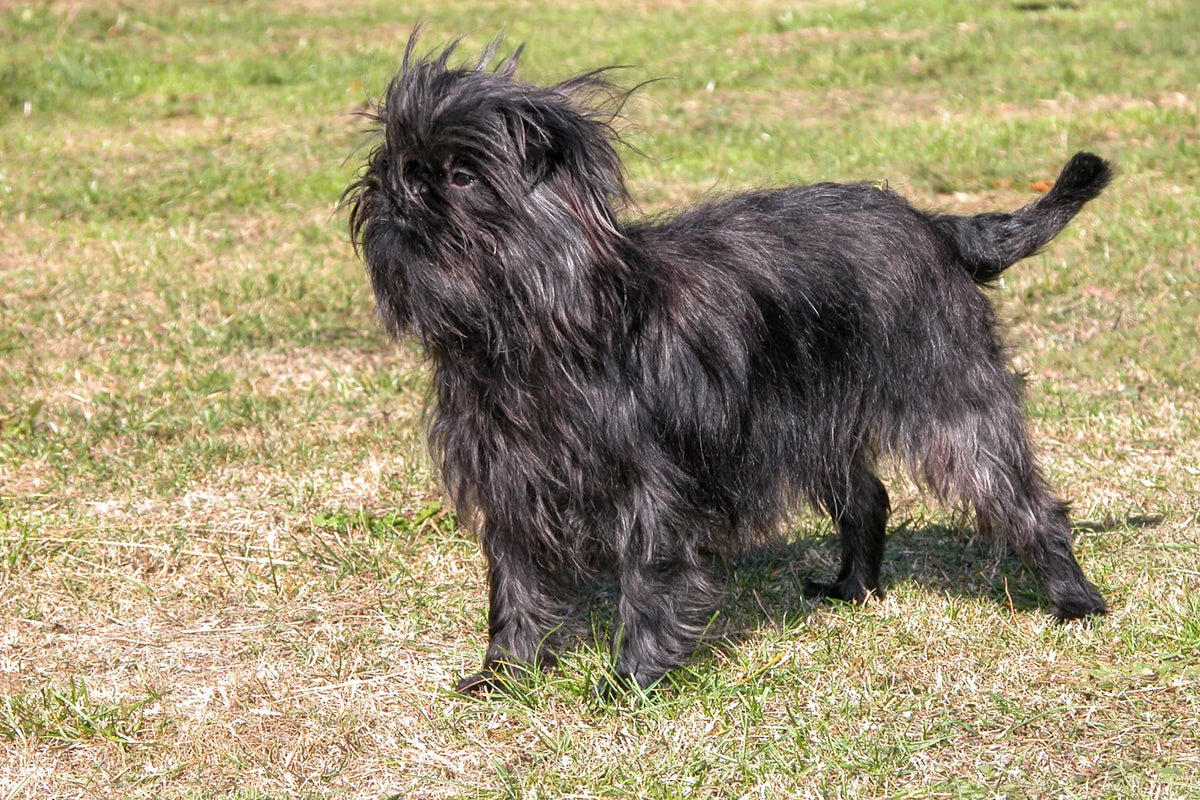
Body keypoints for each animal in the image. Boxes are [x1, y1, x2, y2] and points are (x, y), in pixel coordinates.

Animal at [343, 32, 1108, 695]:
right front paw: (506, 672)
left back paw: (1075, 600)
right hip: (818, 420)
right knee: (868, 498)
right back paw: (852, 589)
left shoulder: (651, 487)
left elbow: (648, 576)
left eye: (459, 175)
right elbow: (515, 583)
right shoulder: (508, 479)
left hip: (952, 406)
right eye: (390, 165)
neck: (537, 329)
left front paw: (632, 680)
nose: (398, 190)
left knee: (1026, 500)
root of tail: (937, 226)